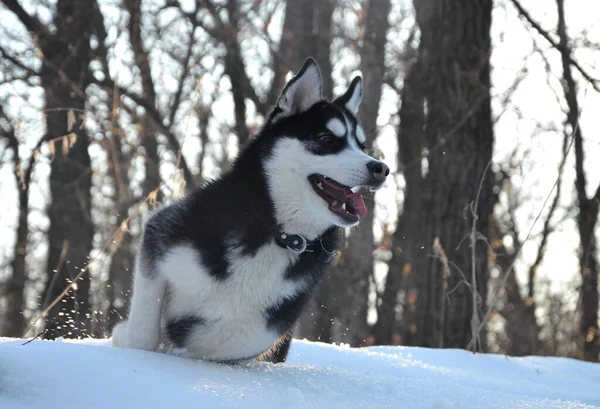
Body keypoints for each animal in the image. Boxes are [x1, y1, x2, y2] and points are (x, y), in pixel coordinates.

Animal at [112, 59, 390, 362]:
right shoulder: (159, 236)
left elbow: (219, 339)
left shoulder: (268, 326)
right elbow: (144, 333)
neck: (276, 232)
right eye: (327, 140)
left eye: (361, 146)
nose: (381, 168)